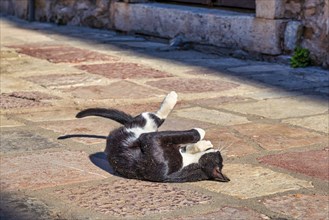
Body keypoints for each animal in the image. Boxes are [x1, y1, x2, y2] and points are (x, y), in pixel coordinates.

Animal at [58, 90, 228, 182]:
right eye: (220, 158)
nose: (219, 151)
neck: (188, 164)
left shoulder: (151, 140)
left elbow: (192, 136)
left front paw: (201, 137)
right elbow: (188, 141)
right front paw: (204, 142)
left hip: (145, 124)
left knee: (155, 117)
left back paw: (171, 97)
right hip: (146, 126)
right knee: (157, 119)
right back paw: (172, 97)